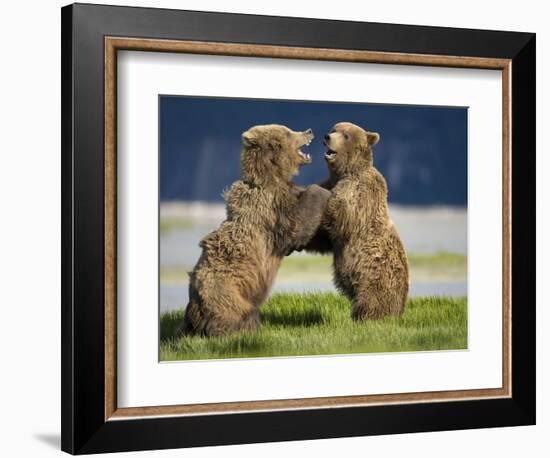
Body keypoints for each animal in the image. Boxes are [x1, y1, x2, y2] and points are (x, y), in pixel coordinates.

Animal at [182, 125, 332, 336]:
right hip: (228, 293)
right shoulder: (271, 209)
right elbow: (297, 224)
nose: (309, 131)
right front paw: (324, 190)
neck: (272, 177)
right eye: (289, 132)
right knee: (236, 316)